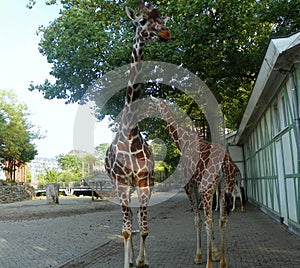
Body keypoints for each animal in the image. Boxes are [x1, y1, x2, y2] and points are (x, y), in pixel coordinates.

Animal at [148, 96, 237, 268]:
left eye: (149, 104)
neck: (182, 141)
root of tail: (225, 163)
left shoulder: (189, 186)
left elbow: (197, 220)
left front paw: (199, 256)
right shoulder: (202, 186)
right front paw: (215, 253)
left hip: (207, 188)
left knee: (209, 221)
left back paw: (209, 264)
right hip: (224, 187)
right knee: (222, 219)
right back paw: (223, 262)